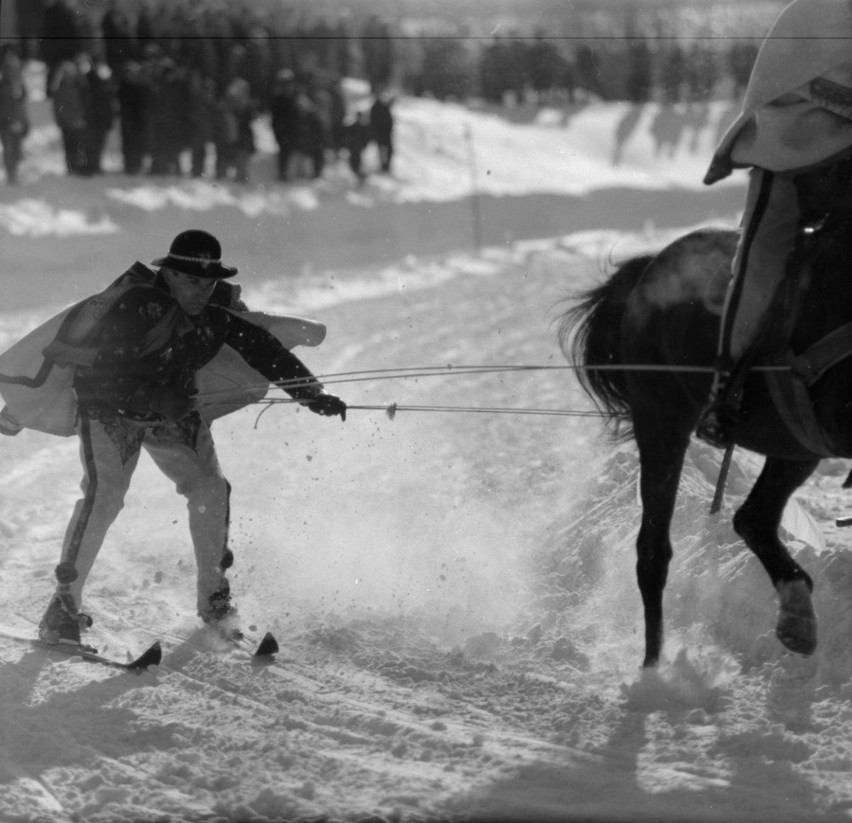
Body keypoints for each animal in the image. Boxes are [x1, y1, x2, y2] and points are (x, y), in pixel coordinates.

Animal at [556, 163, 852, 668]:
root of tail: (647, 269)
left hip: (795, 445)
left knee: (753, 518)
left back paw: (796, 613)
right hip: (662, 420)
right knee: (653, 552)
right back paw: (653, 665)